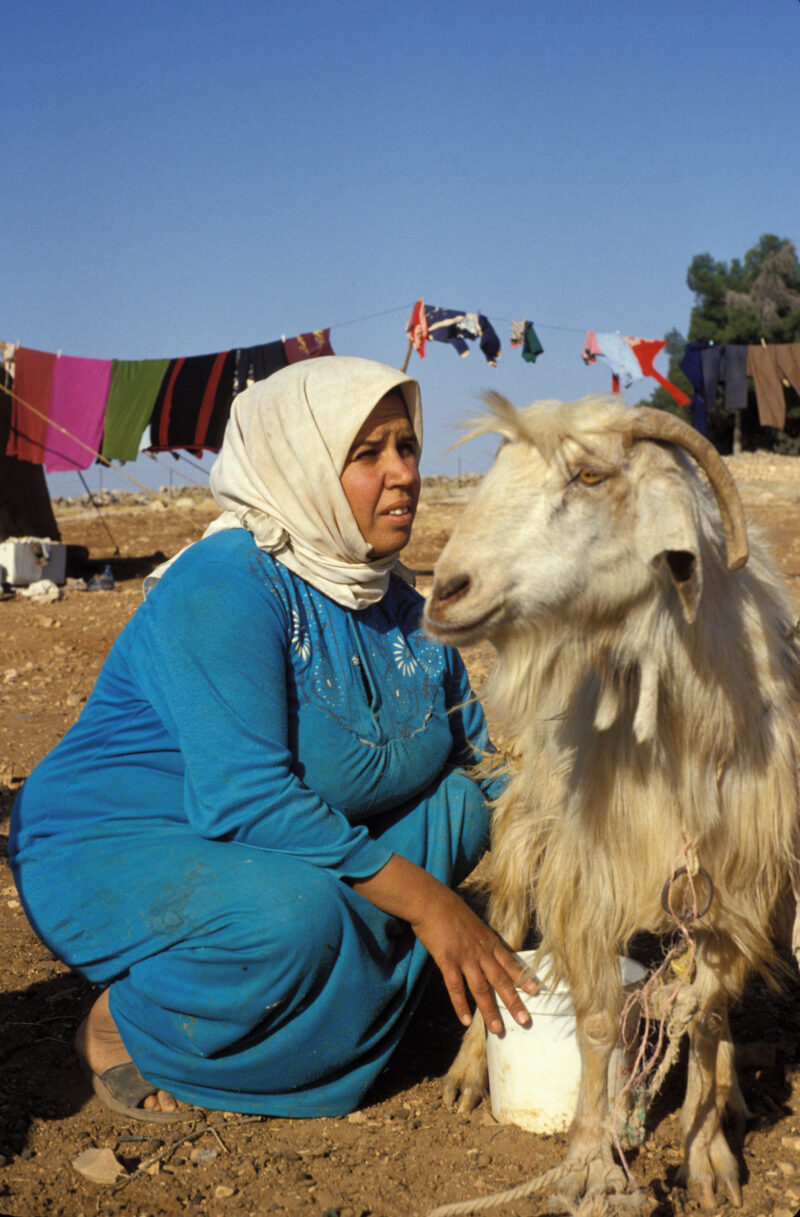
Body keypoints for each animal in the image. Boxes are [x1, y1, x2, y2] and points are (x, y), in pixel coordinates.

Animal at [424, 394, 800, 1209]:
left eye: (590, 475)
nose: (444, 592)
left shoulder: (738, 876)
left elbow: (708, 1014)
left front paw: (708, 1154)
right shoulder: (589, 870)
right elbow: (598, 1023)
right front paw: (590, 1161)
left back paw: (729, 1093)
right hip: (527, 819)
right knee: (501, 931)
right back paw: (467, 1070)